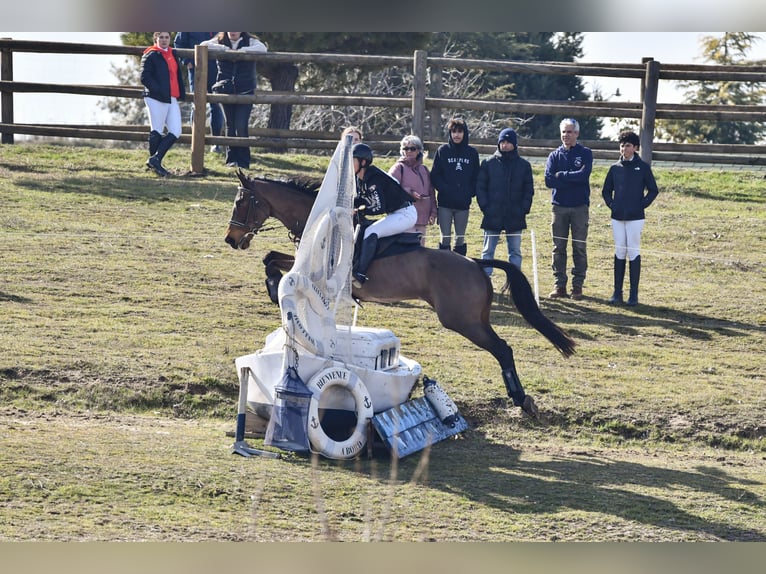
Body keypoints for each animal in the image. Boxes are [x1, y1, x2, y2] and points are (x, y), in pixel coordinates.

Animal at [224, 171, 576, 418]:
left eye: (242, 202)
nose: (231, 239)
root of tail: (476, 264)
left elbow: (276, 265)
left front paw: (273, 289)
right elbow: (271, 258)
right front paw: (273, 286)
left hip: (461, 320)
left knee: (502, 349)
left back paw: (521, 399)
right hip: (474, 318)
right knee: (503, 348)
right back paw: (521, 398)